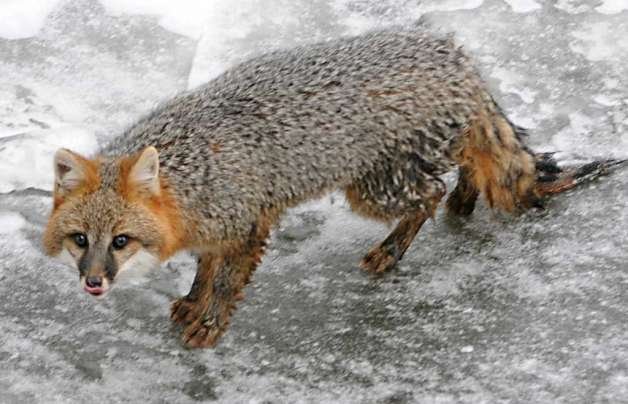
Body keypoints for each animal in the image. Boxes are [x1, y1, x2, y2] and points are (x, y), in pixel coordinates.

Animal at [40, 27, 624, 348]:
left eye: (121, 241)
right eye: (80, 241)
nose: (93, 282)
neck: (191, 175)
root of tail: (453, 51)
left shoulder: (249, 223)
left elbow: (226, 283)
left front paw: (209, 324)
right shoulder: (219, 226)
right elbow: (205, 269)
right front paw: (191, 301)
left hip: (374, 189)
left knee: (431, 192)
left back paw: (396, 246)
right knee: (469, 163)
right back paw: (464, 199)